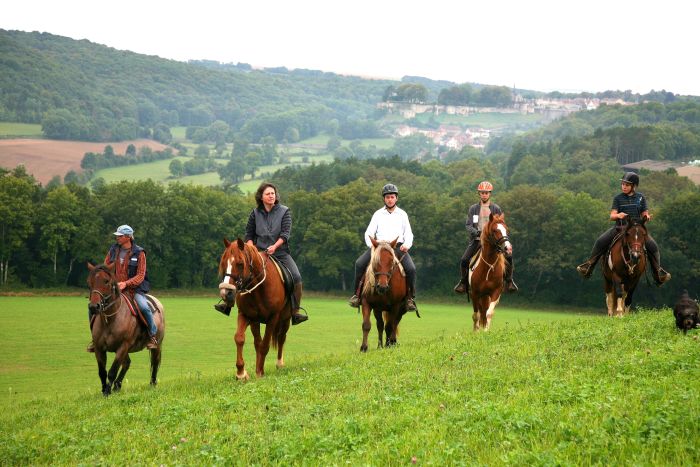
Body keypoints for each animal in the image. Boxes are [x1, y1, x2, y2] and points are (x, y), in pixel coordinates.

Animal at [86, 262, 164, 396]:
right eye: (89, 281)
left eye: (106, 281)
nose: (93, 307)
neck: (110, 320)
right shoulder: (99, 348)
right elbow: (102, 372)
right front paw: (104, 390)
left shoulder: (122, 346)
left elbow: (112, 371)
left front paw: (107, 392)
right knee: (127, 363)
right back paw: (117, 386)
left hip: (156, 345)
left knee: (154, 362)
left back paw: (152, 384)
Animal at [217, 238, 292, 380]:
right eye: (223, 263)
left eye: (240, 264)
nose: (225, 293)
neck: (259, 288)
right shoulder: (246, 315)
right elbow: (240, 338)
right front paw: (241, 373)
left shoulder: (273, 318)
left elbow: (265, 345)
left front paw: (259, 372)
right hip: (255, 322)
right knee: (258, 342)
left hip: (285, 318)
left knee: (281, 337)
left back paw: (279, 364)